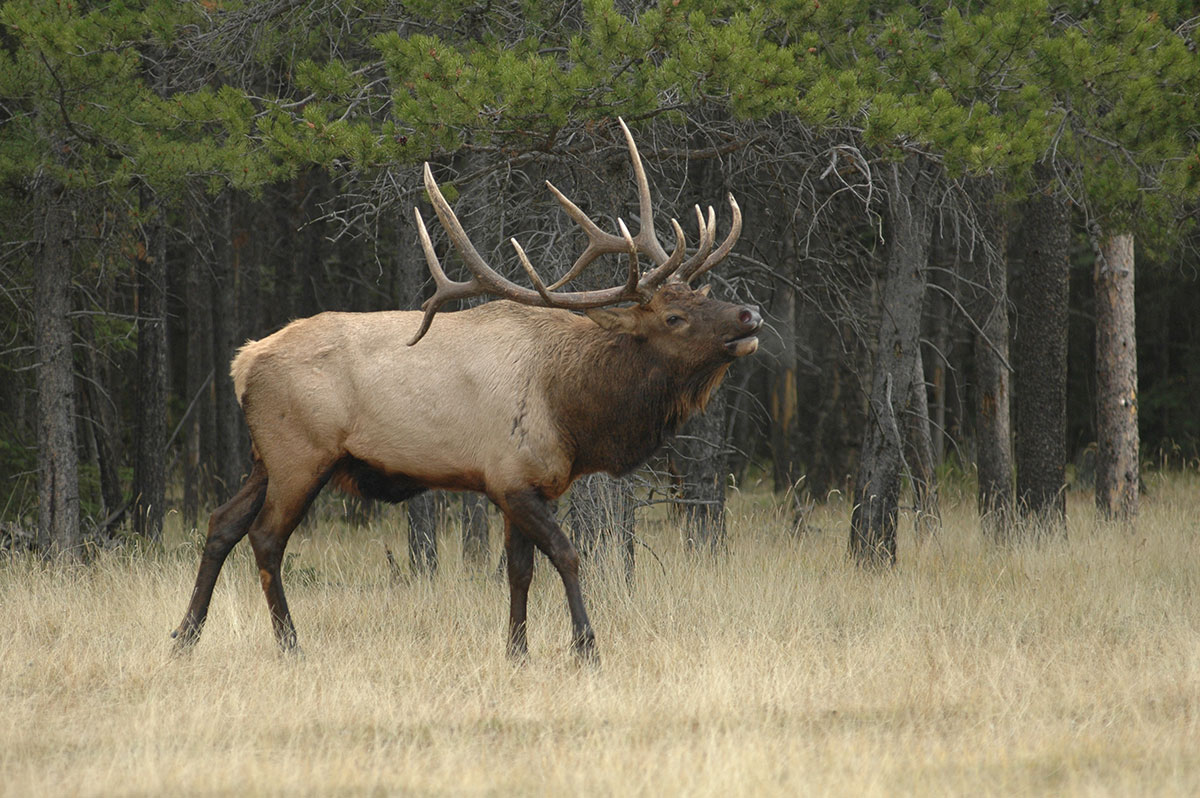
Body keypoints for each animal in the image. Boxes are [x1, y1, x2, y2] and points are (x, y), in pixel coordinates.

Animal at [171, 120, 758, 657]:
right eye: (674, 317)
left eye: (703, 294)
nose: (750, 314)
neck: (575, 412)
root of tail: (243, 361)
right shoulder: (510, 477)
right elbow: (567, 555)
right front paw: (585, 645)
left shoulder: (525, 485)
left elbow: (519, 572)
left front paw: (517, 650)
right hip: (301, 454)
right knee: (266, 537)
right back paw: (290, 643)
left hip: (264, 457)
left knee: (221, 524)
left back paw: (185, 637)